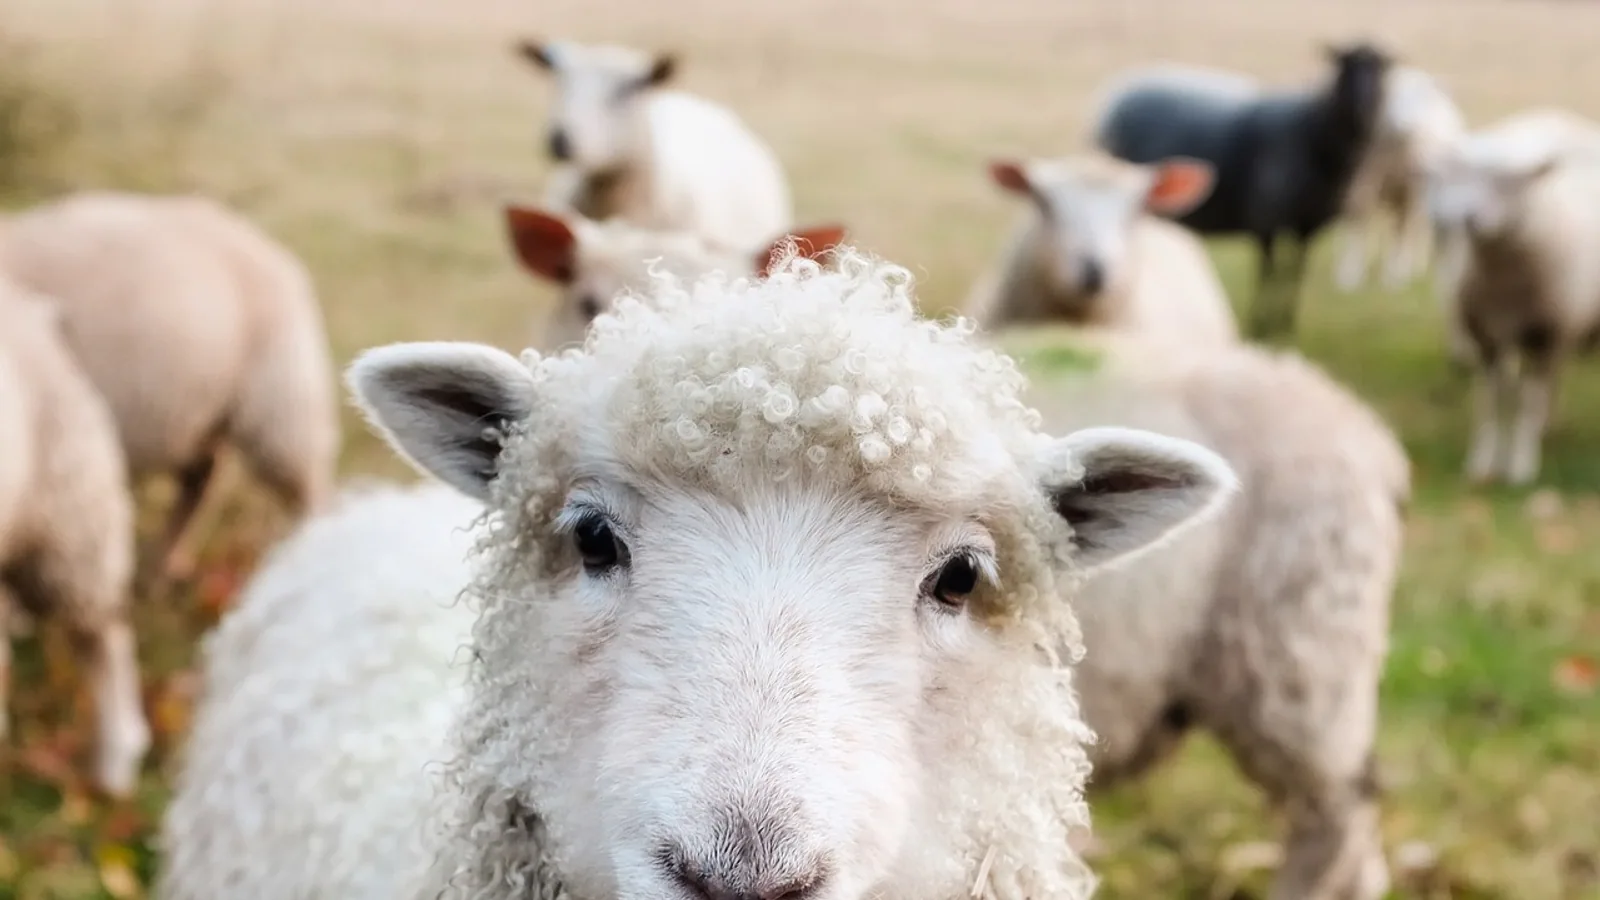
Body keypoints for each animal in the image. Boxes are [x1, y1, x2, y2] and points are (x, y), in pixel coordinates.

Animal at [1092, 42, 1394, 339]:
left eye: (1381, 69)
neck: (1311, 131)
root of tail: (1118, 91)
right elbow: (1269, 273)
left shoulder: (1307, 226)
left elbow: (1295, 272)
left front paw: (1285, 324)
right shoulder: (1266, 220)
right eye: (1345, 66)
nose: (1364, 106)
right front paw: (1262, 324)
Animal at [1425, 108, 1600, 486]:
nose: (1468, 218)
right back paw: (1548, 424)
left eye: (1510, 182)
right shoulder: (1487, 337)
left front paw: (1521, 465)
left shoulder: (1544, 334)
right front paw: (1482, 462)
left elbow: (1527, 402)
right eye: (1463, 175)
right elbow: (1492, 401)